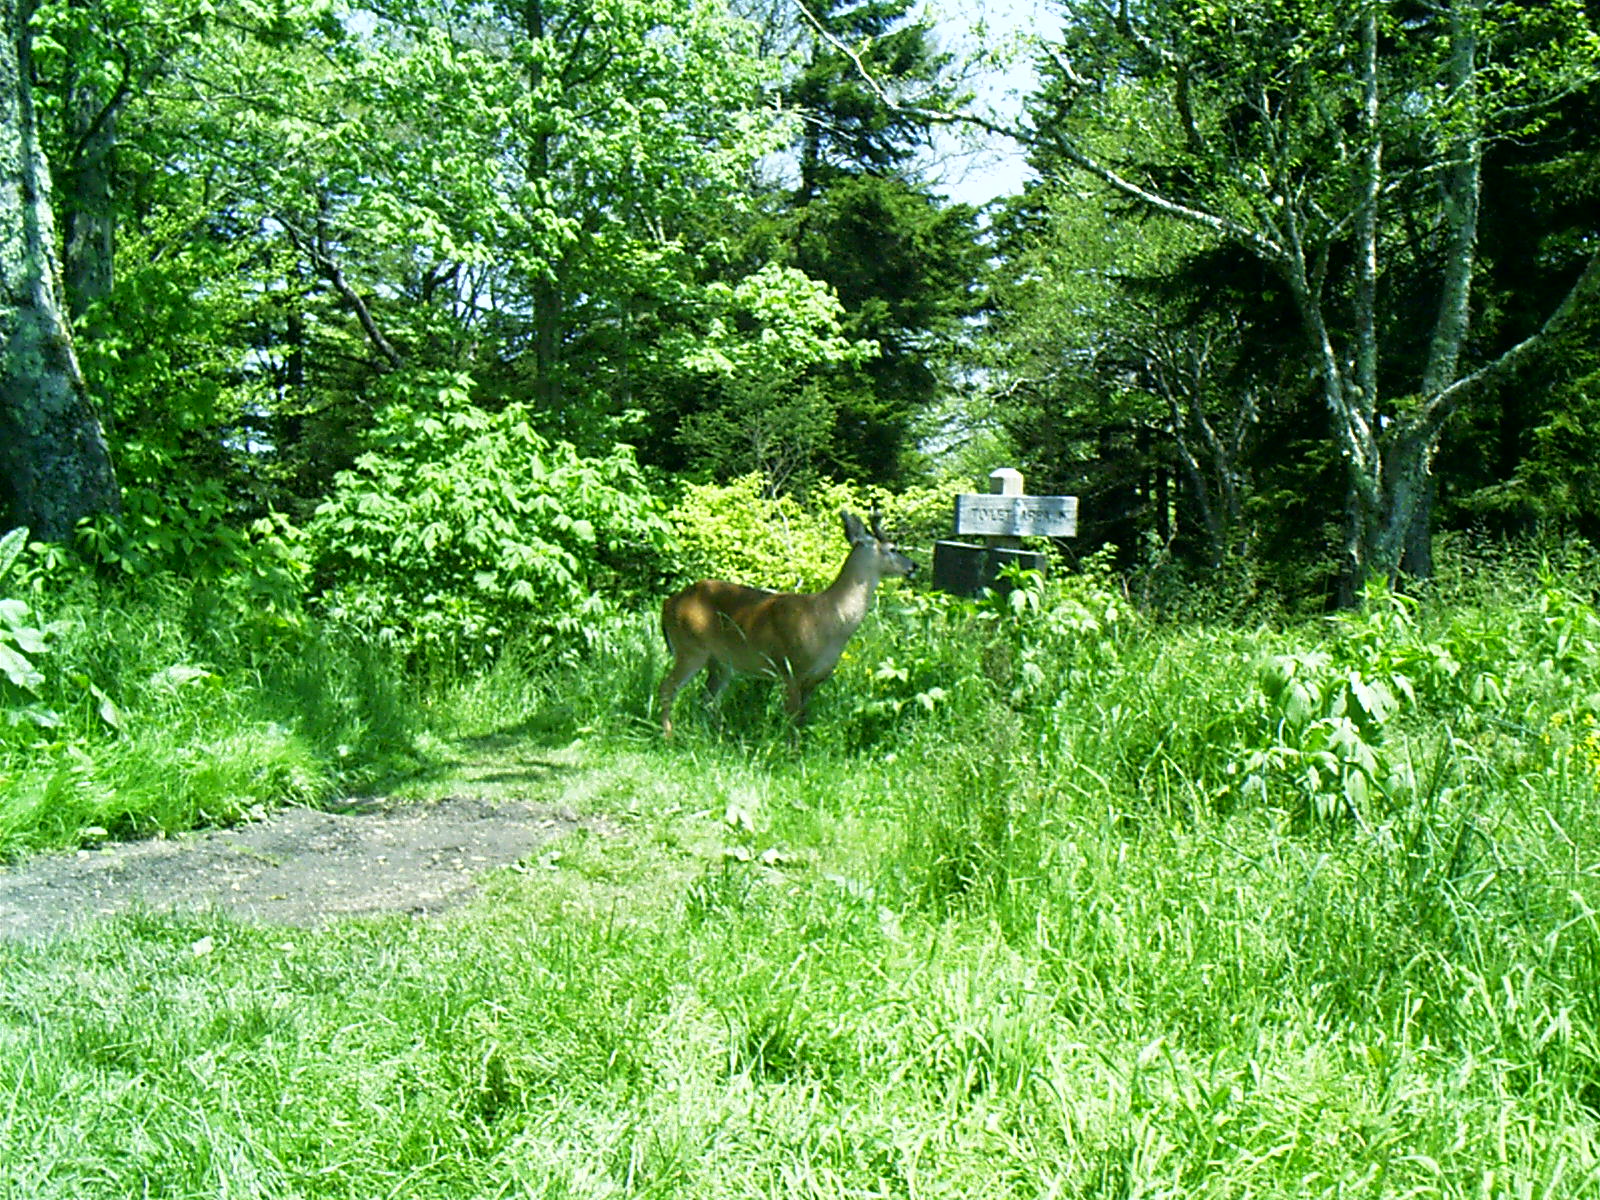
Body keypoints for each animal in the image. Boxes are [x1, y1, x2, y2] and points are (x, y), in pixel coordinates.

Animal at [657, 509, 918, 736]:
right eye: (893, 548)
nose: (914, 566)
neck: (828, 618)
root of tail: (668, 603)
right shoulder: (791, 668)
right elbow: (792, 719)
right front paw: (790, 754)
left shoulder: (814, 678)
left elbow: (802, 719)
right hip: (690, 648)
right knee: (667, 688)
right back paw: (669, 737)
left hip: (720, 662)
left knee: (707, 697)